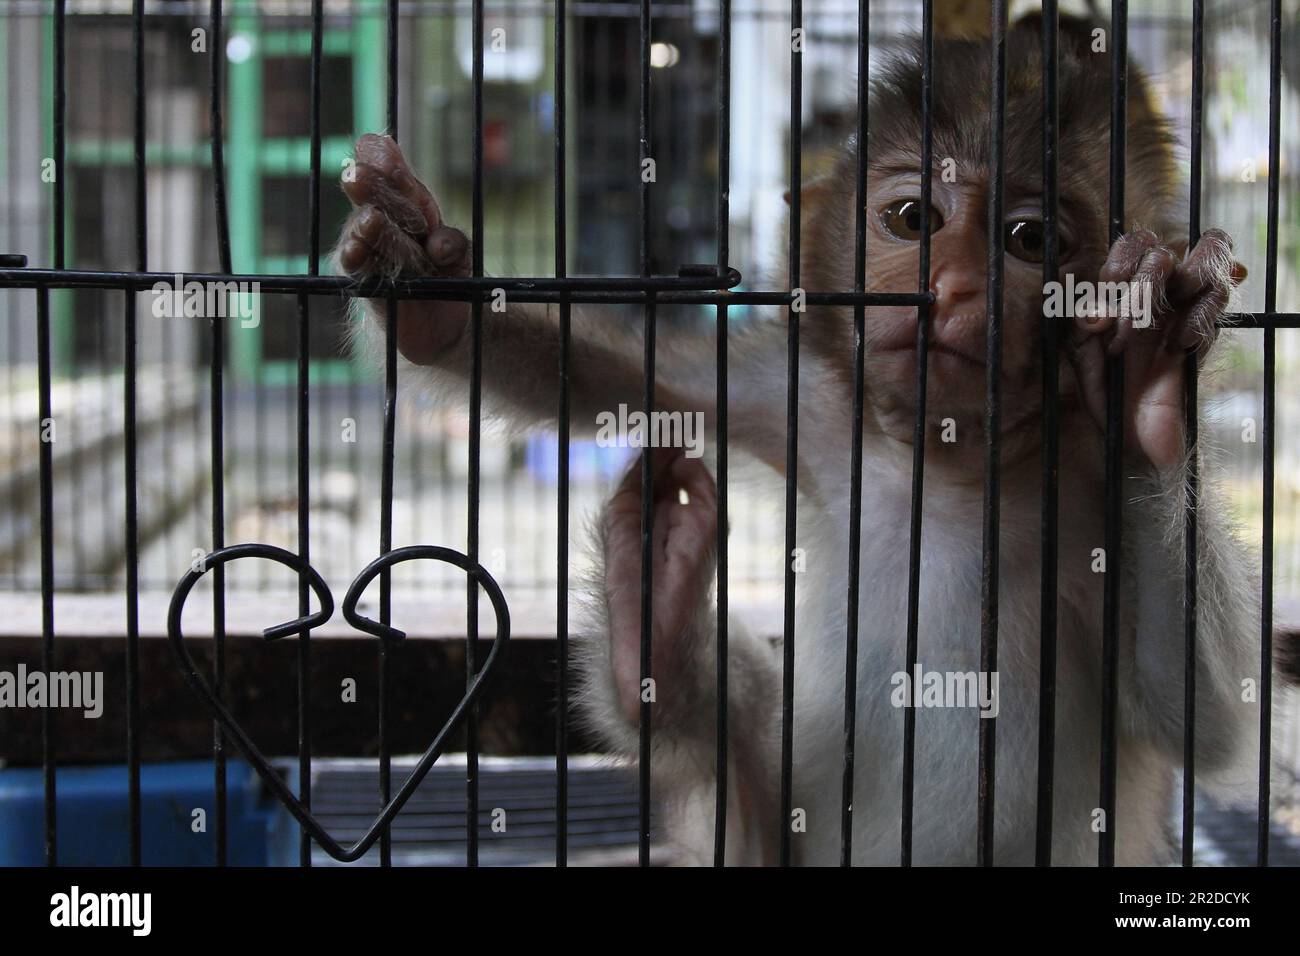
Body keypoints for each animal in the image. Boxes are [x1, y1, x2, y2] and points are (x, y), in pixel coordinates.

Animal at [332, 16, 1258, 868]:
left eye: (1029, 241)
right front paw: (429, 289)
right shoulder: (806, 401)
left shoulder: (1082, 477)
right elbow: (634, 383)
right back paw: (655, 627)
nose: (956, 286)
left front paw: (1145, 380)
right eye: (913, 218)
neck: (951, 460)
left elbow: (1198, 714)